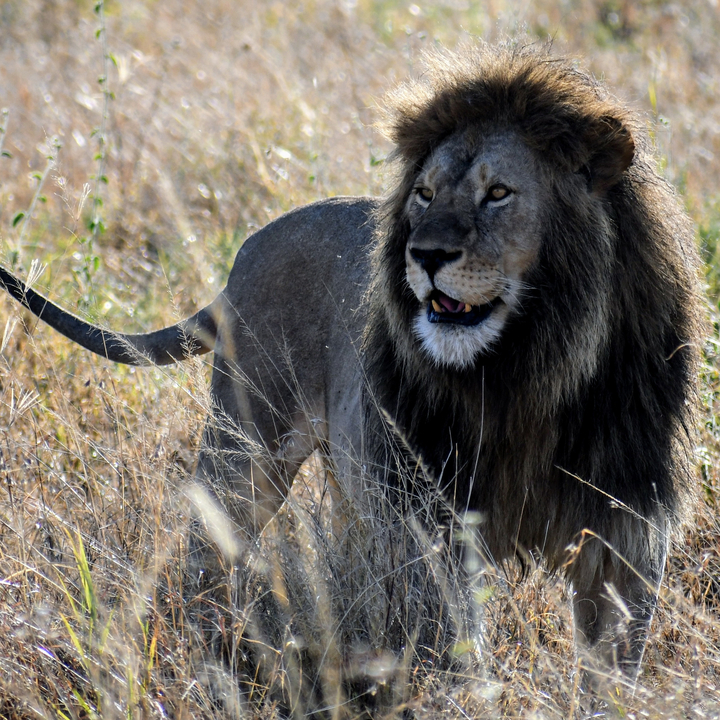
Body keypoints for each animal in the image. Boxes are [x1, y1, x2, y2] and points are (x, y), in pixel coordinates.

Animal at [0, 43, 703, 683]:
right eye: (424, 194)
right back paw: (207, 650)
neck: (527, 371)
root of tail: (244, 255)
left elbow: (612, 666)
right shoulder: (431, 521)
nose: (424, 255)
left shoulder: (625, 526)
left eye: (499, 193)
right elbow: (455, 642)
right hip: (246, 451)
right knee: (206, 550)